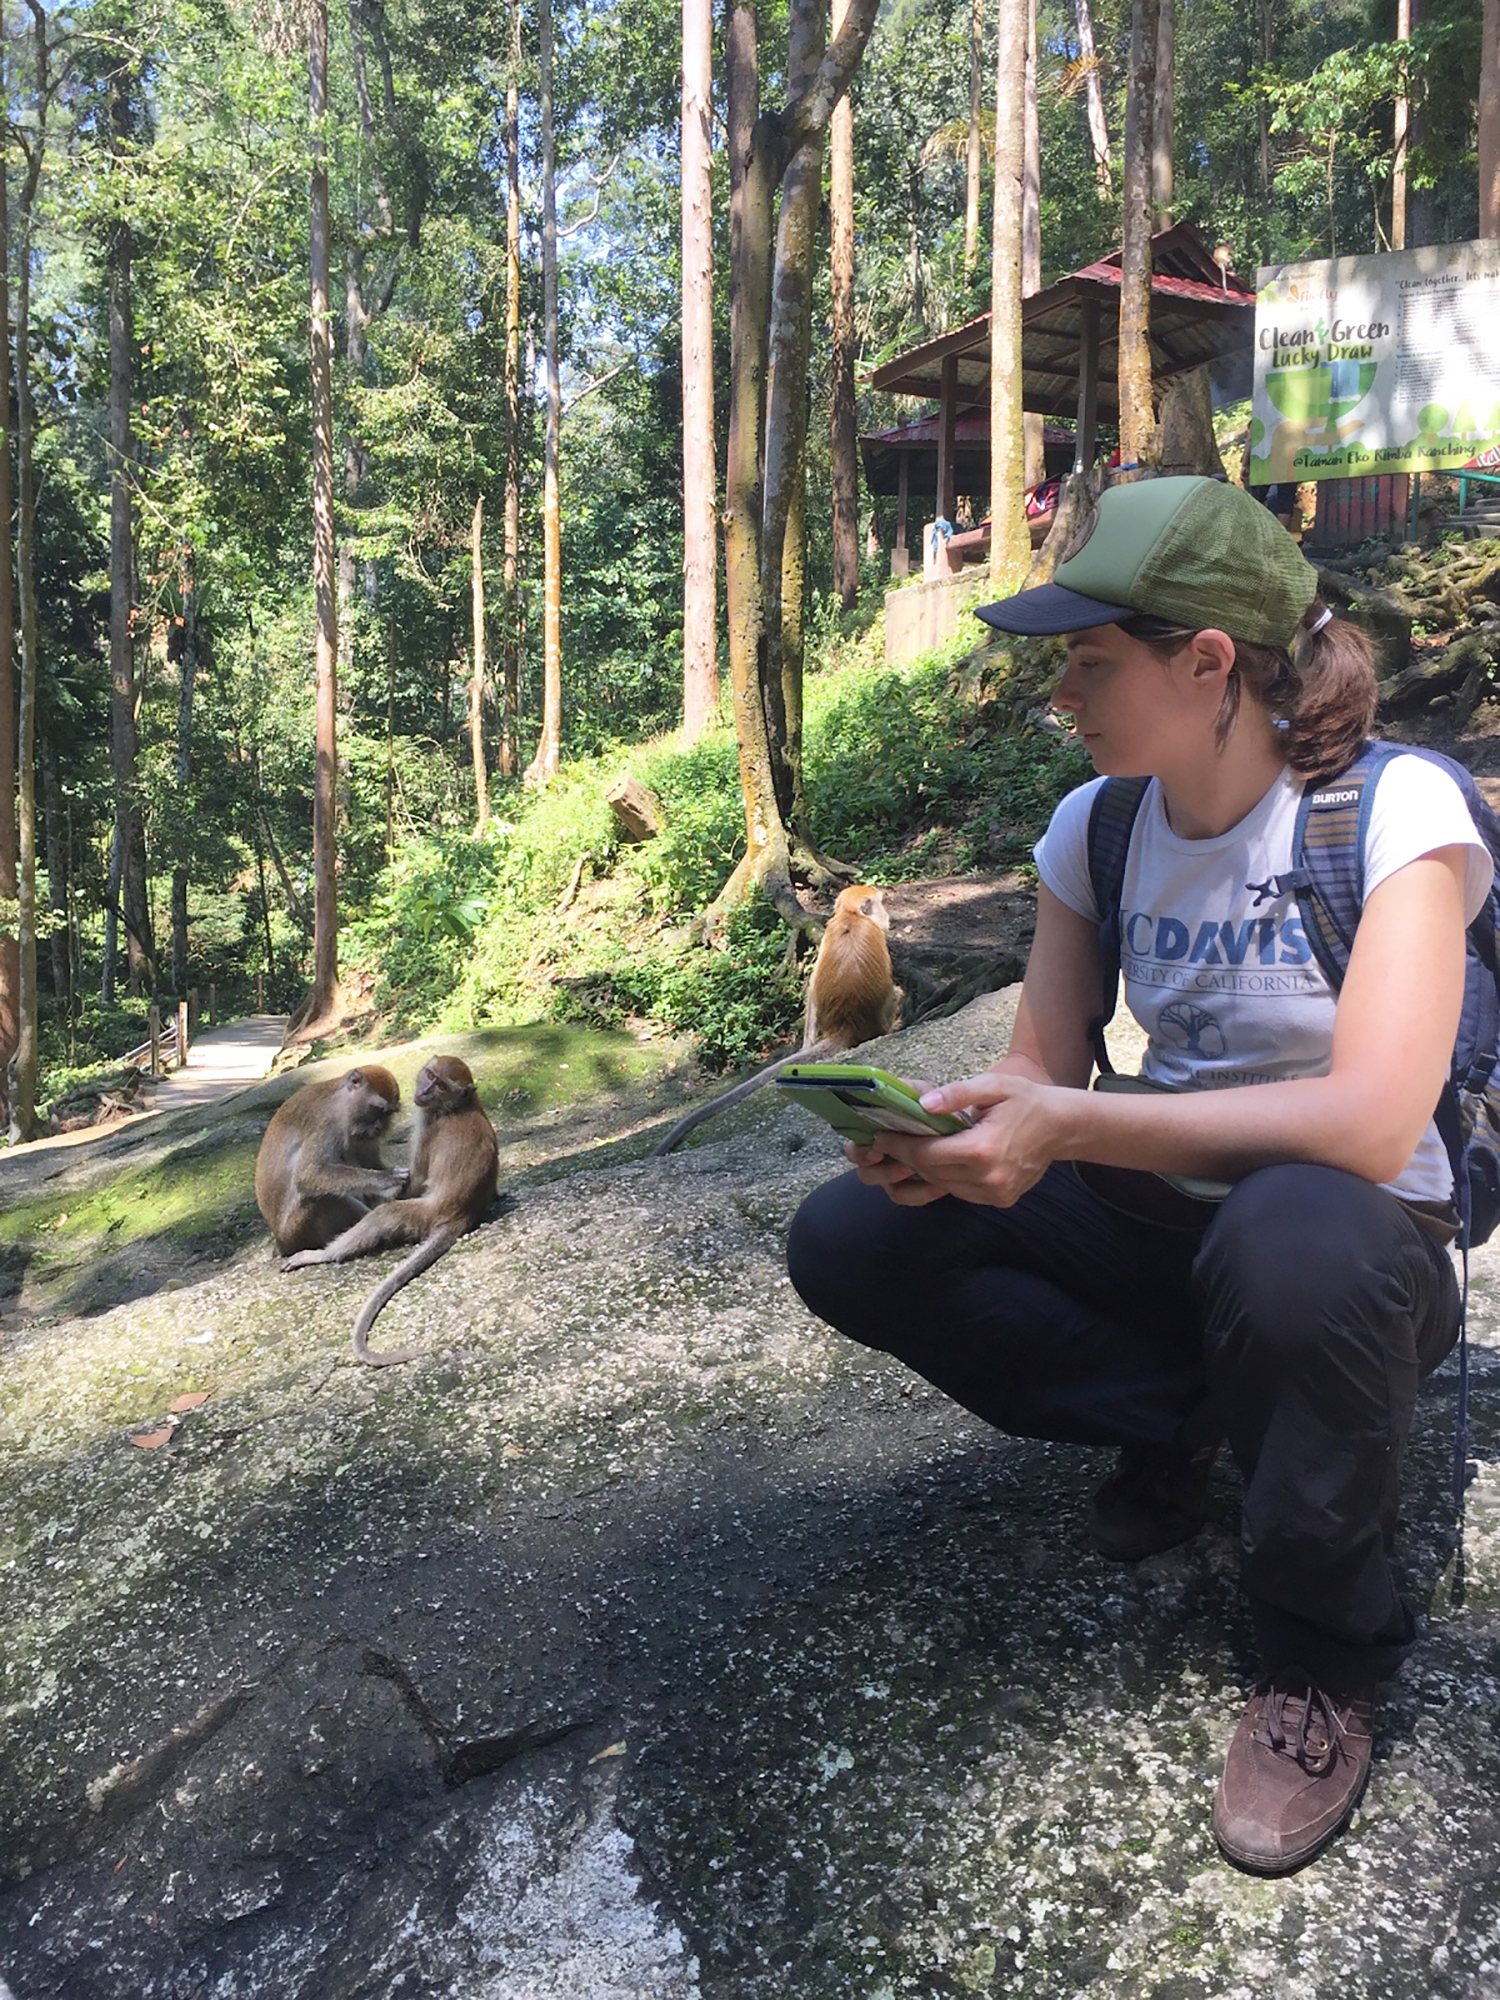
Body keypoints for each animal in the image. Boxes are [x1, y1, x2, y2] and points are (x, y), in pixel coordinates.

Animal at [256, 1064, 406, 1248]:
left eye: (388, 1114)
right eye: (378, 1109)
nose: (379, 1128)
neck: (340, 1101)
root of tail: (281, 1241)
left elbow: (369, 1162)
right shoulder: (326, 1121)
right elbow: (309, 1174)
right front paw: (386, 1177)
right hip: (298, 1230)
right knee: (322, 1197)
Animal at [284, 1056, 508, 1368]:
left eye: (440, 1085)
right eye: (430, 1075)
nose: (424, 1092)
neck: (457, 1106)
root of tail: (460, 1216)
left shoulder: (427, 1128)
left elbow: (416, 1180)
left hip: (422, 1215)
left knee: (385, 1216)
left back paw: (321, 1255)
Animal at [648, 880, 904, 1160]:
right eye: (880, 904)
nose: (888, 917)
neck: (852, 917)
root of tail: (844, 1027)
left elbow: (812, 987)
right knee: (895, 995)